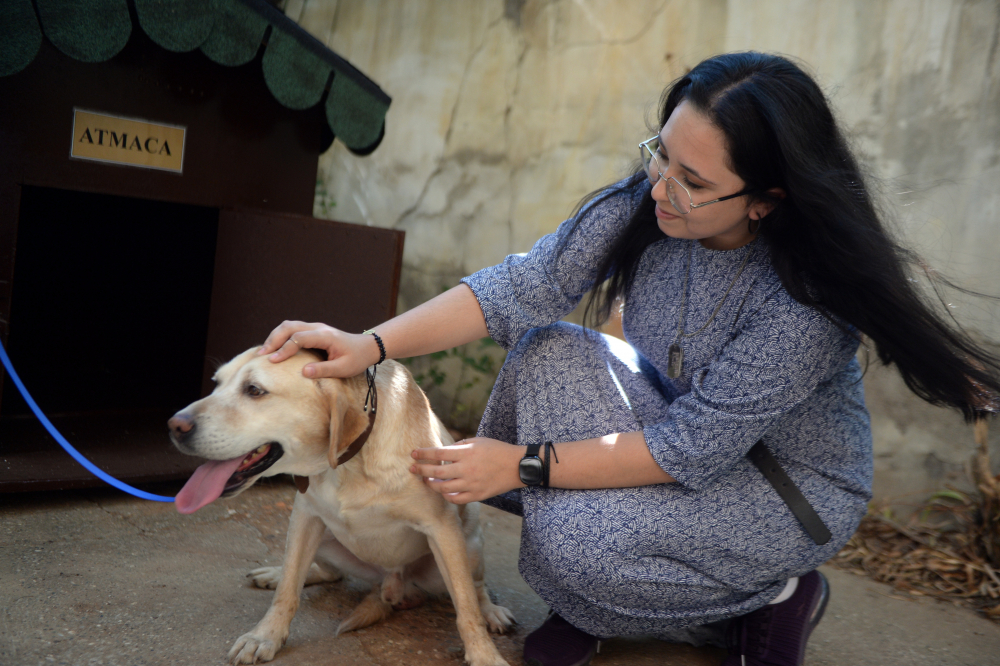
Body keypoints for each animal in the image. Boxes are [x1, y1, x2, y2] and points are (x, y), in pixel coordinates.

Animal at [167, 348, 512, 664]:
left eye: (254, 390)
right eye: (216, 383)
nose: (174, 425)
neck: (348, 463)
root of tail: (392, 581)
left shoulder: (442, 529)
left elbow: (466, 608)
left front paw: (484, 655)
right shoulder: (305, 517)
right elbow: (288, 589)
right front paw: (265, 635)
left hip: (469, 546)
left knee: (477, 589)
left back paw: (491, 611)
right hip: (321, 538)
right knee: (325, 573)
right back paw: (278, 574)